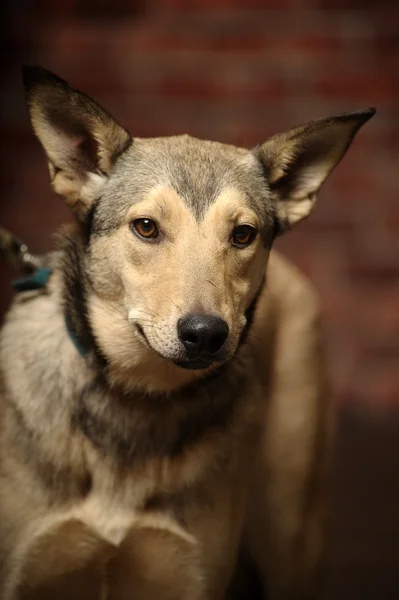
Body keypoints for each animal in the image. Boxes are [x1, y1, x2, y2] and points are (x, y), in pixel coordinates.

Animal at [0, 67, 376, 600]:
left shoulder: (191, 577)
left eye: (243, 234)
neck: (138, 394)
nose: (205, 334)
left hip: (292, 538)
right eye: (146, 227)